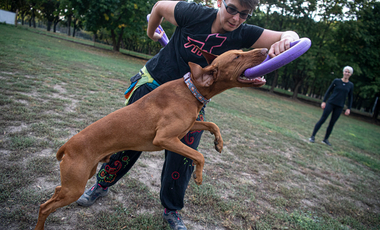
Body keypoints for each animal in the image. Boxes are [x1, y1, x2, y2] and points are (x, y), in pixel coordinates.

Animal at [35, 47, 268, 229]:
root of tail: (66, 145)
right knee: (44, 206)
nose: (266, 50)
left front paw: (219, 142)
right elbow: (199, 155)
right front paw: (199, 176)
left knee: (55, 191)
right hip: (74, 188)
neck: (191, 89)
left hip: (78, 180)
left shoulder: (188, 127)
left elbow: (212, 124)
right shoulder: (165, 139)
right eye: (237, 56)